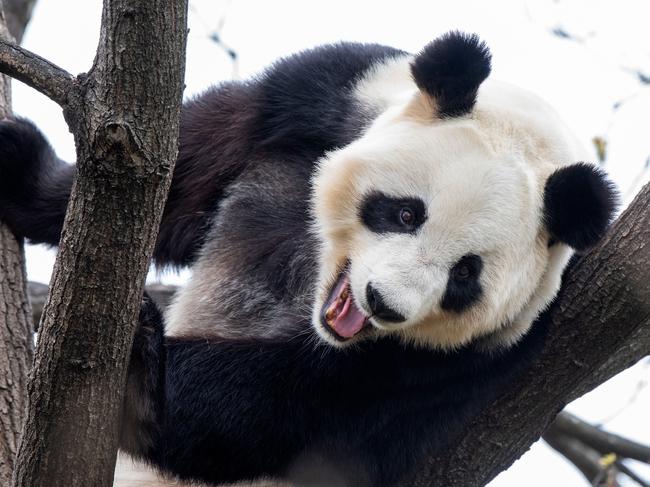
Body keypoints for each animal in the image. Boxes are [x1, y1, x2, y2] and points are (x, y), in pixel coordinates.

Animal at [0, 31, 612, 487]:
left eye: (466, 274)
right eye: (406, 213)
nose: (384, 304)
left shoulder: (471, 360)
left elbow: (268, 412)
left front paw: (141, 362)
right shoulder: (321, 99)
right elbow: (180, 164)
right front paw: (24, 172)